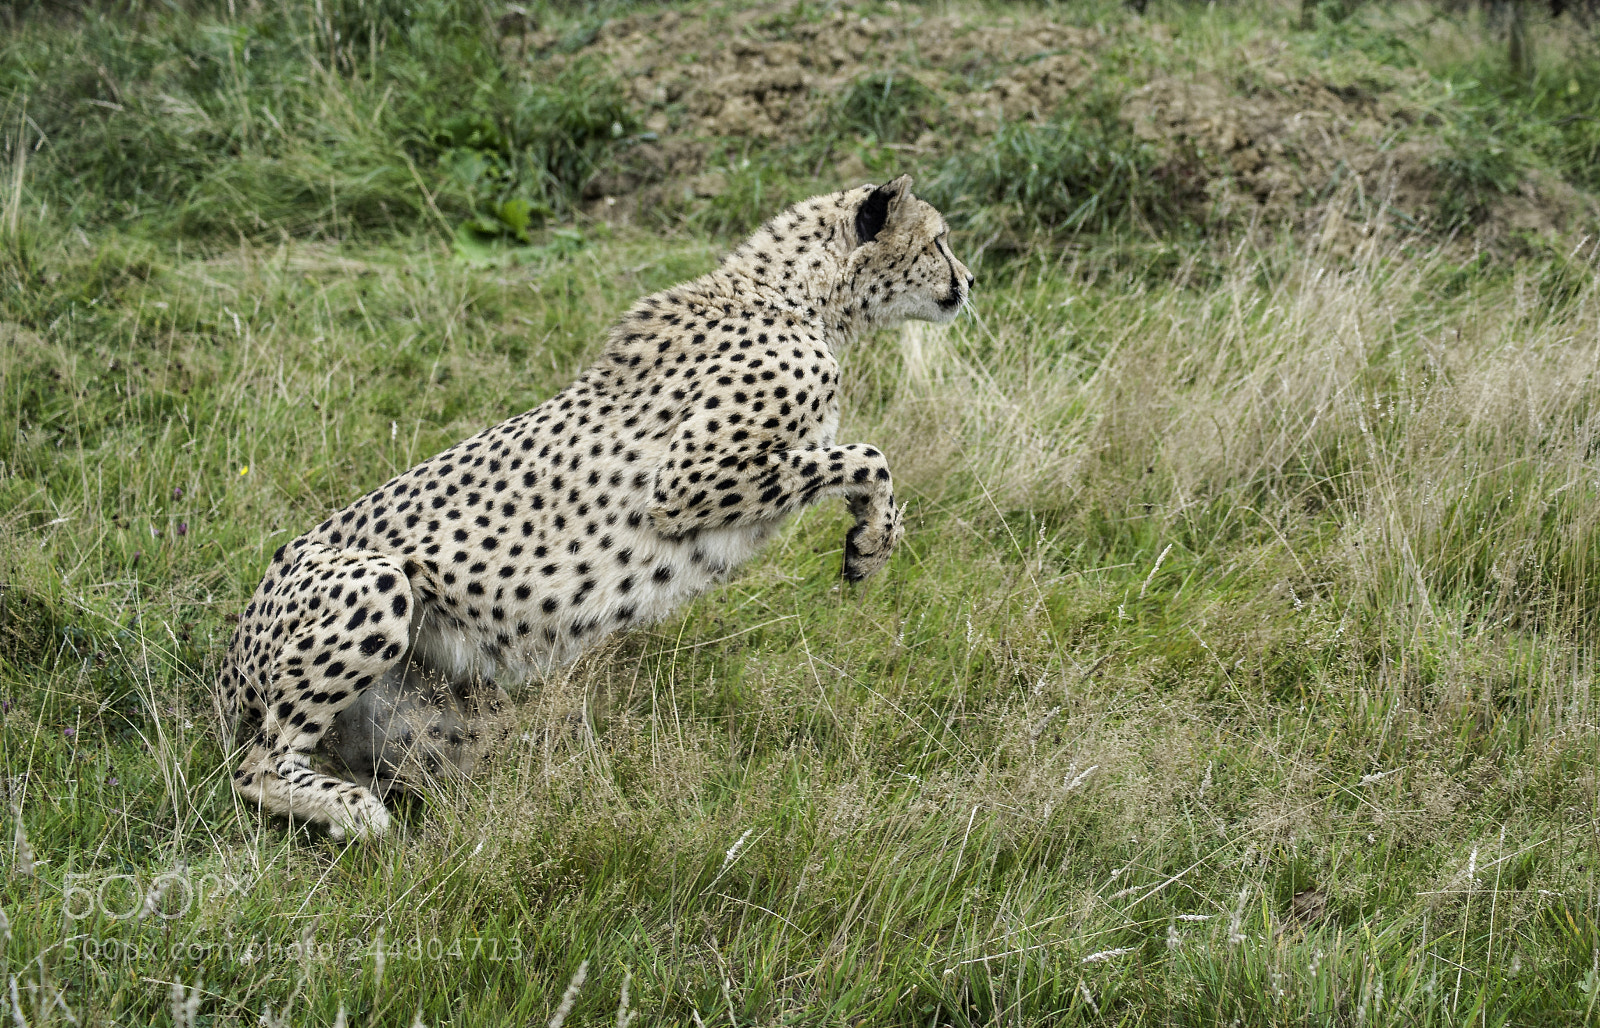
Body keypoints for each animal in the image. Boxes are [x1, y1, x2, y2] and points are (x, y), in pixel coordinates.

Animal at [217, 175, 974, 839]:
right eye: (939, 241)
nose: (969, 282)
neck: (794, 298)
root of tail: (230, 647)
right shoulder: (686, 481)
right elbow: (868, 454)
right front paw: (872, 543)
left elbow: (856, 460)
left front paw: (870, 539)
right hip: (376, 583)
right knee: (254, 766)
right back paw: (352, 813)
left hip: (438, 719)